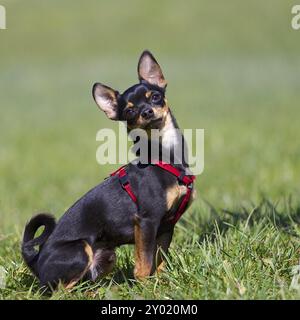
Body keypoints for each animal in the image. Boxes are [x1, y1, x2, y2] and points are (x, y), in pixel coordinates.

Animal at [22, 50, 197, 290]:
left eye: (155, 97)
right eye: (130, 110)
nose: (146, 111)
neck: (165, 156)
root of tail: (36, 260)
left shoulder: (166, 227)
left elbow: (159, 260)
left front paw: (161, 284)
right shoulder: (146, 222)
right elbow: (144, 263)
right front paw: (145, 287)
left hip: (106, 256)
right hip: (80, 250)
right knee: (58, 290)